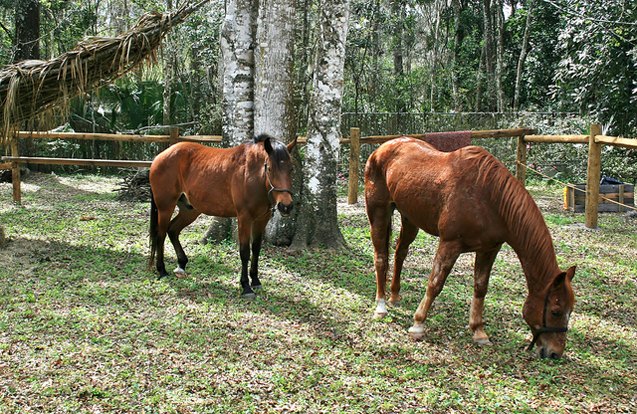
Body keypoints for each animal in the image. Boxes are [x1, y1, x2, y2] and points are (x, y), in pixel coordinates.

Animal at [149, 134, 296, 300]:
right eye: (270, 168)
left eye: (291, 169)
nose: (286, 206)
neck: (252, 174)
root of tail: (159, 157)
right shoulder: (244, 218)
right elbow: (245, 252)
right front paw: (246, 287)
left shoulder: (261, 220)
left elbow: (256, 249)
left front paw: (256, 280)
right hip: (165, 208)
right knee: (160, 235)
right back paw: (162, 270)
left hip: (190, 210)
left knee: (173, 230)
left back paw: (181, 265)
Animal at [362, 137, 576, 358]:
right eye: (556, 311)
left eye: (571, 310)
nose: (555, 353)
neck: (490, 198)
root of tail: (383, 147)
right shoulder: (449, 244)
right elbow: (435, 283)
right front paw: (418, 324)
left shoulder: (489, 250)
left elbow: (481, 288)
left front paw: (478, 331)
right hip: (379, 213)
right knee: (381, 257)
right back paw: (381, 306)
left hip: (410, 218)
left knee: (400, 253)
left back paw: (394, 296)